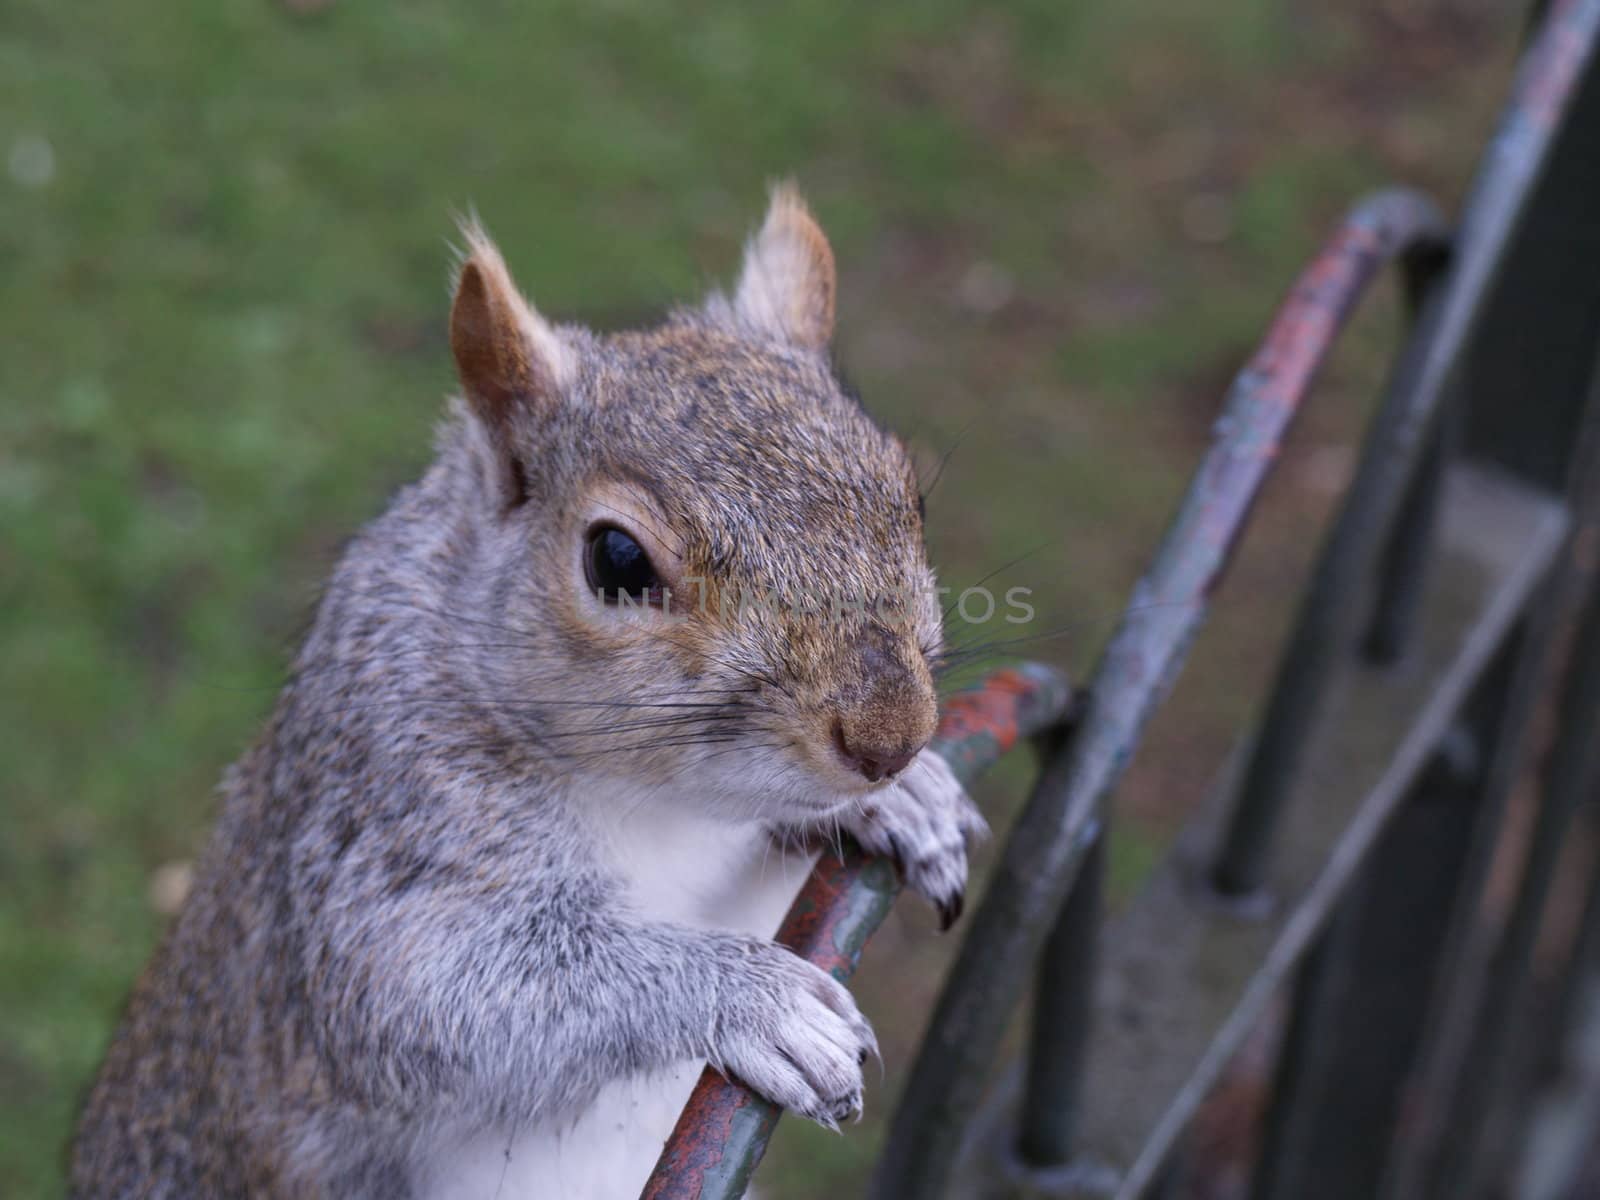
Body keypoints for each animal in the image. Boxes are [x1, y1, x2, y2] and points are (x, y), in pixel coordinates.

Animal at [72, 188, 985, 1200]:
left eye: (907, 492)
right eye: (616, 560)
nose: (891, 736)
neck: (659, 803)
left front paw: (908, 802)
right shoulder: (381, 818)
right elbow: (431, 1000)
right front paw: (758, 997)